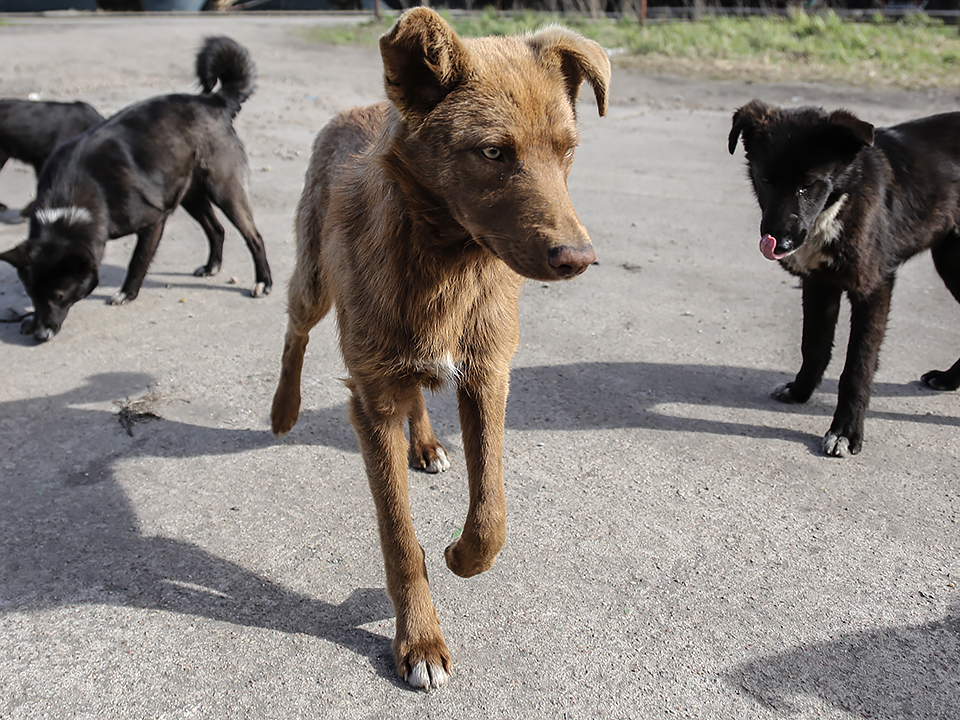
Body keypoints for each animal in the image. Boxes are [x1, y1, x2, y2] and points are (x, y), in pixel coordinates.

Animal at [0, 37, 270, 344]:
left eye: (59, 295)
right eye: (31, 295)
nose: (41, 335)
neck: (77, 188)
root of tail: (213, 101)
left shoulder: (154, 220)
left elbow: (138, 260)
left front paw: (126, 293)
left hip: (224, 189)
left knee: (254, 236)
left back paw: (263, 282)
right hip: (190, 195)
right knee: (216, 229)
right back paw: (212, 266)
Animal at [268, 8, 608, 688]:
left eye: (568, 150)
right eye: (493, 152)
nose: (578, 259)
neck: (446, 265)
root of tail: (359, 107)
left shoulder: (487, 375)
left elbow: (492, 513)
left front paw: (460, 555)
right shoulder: (370, 401)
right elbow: (399, 538)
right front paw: (420, 640)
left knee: (417, 393)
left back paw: (424, 444)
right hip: (314, 283)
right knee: (295, 330)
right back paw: (283, 410)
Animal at [732, 97, 956, 456]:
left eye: (808, 185)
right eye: (765, 179)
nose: (780, 243)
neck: (839, 203)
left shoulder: (874, 287)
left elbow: (857, 368)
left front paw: (845, 431)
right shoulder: (819, 283)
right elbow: (814, 346)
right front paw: (800, 391)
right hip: (951, 257)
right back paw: (949, 379)